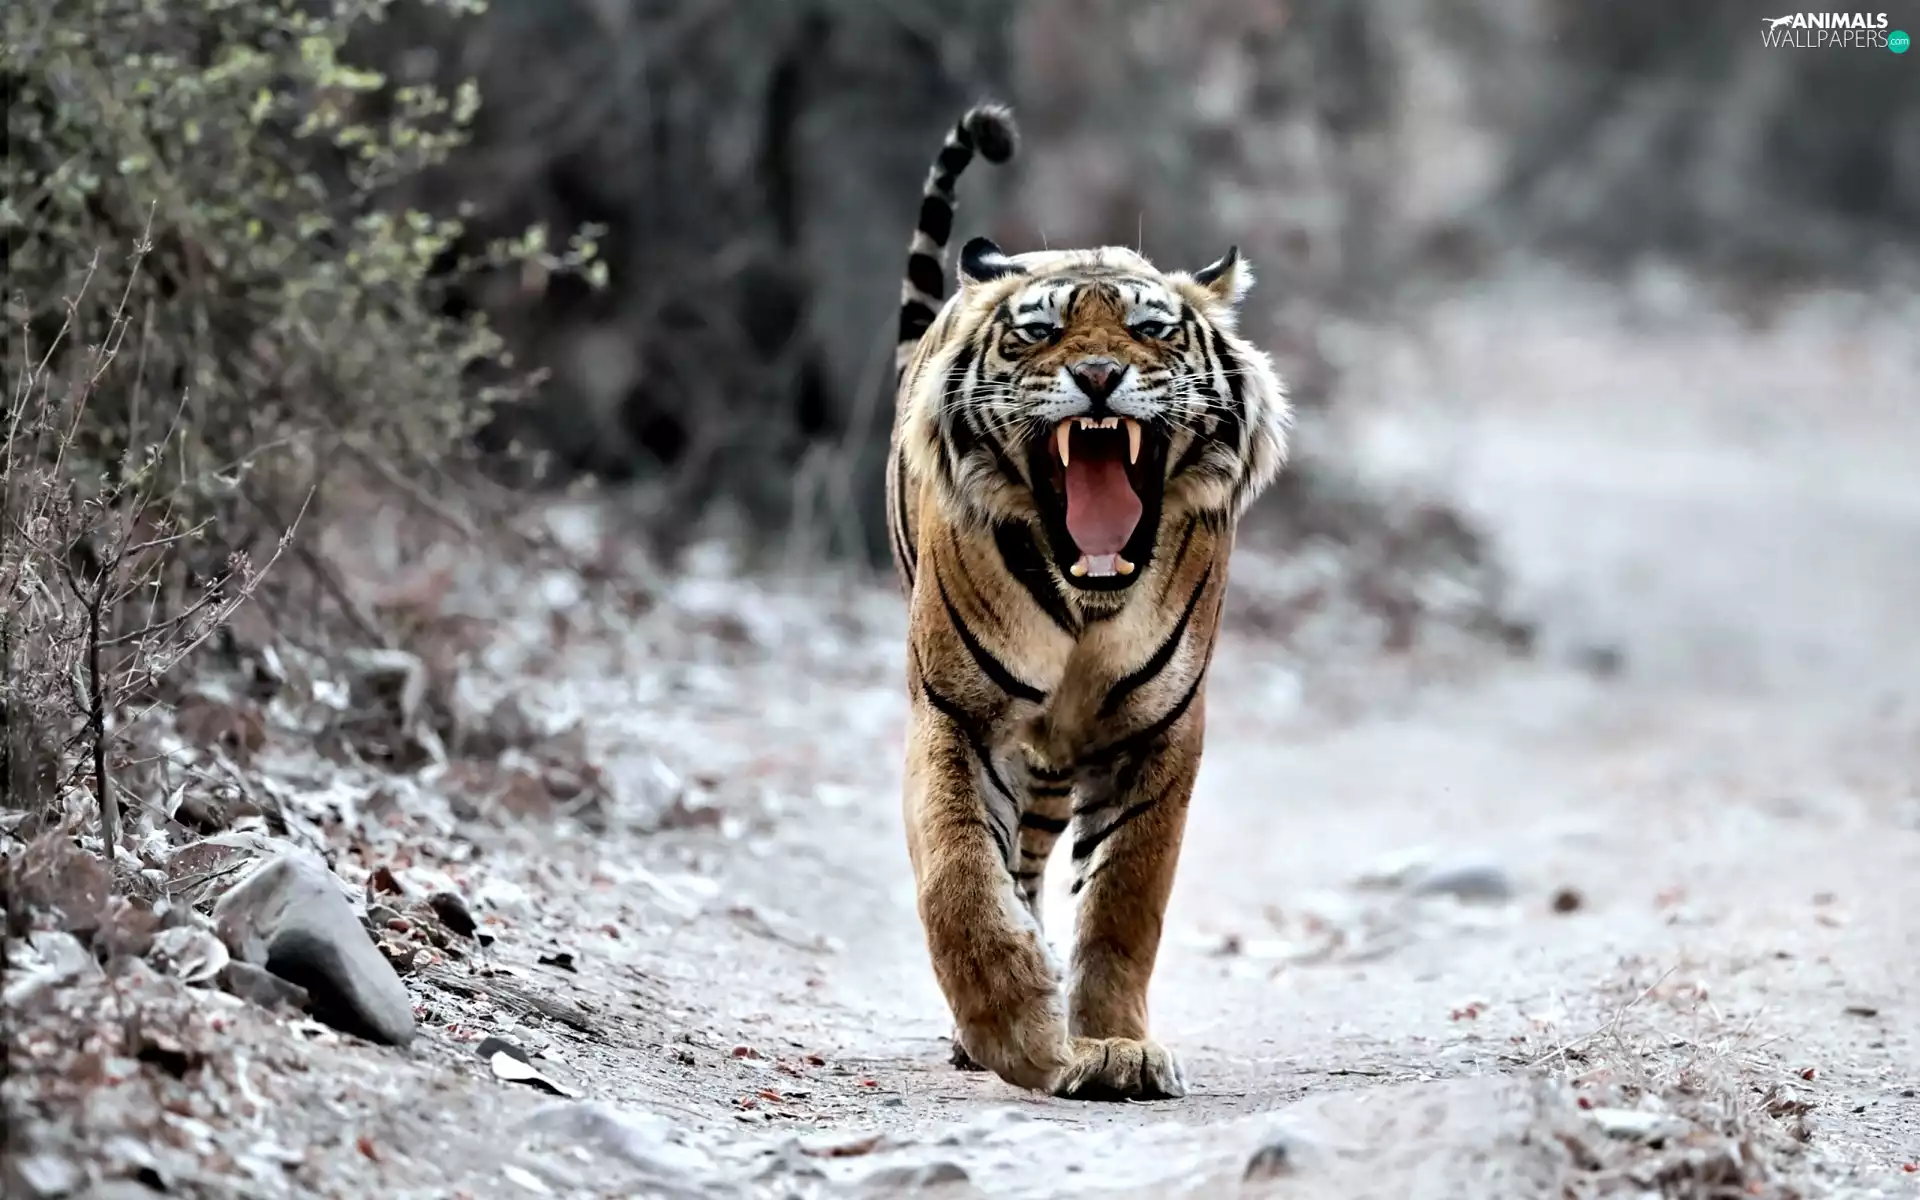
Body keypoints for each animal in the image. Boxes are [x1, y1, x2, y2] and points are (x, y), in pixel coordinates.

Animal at [884, 102, 1291, 1101]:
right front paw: (1019, 1031)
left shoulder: (1160, 730)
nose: (1100, 375)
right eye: (1037, 333)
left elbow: (1124, 900)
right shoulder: (955, 712)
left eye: (1153, 331)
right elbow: (958, 873)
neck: (1088, 601)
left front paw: (1111, 1045)